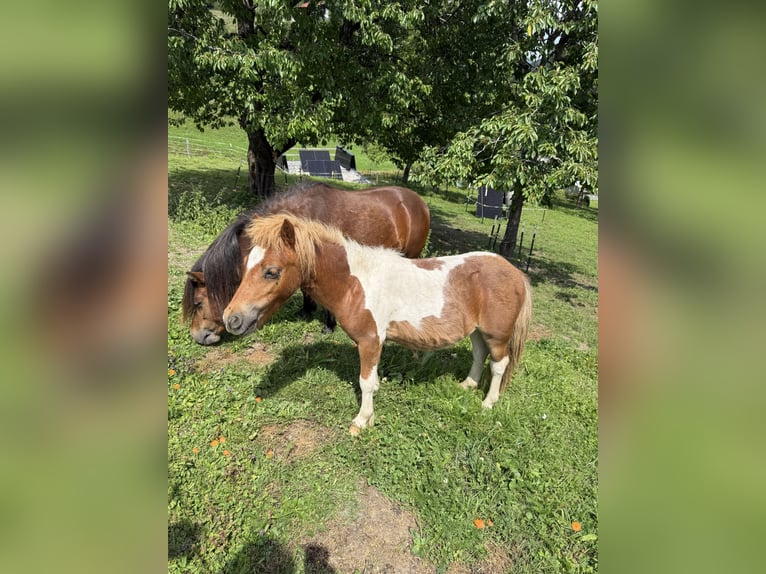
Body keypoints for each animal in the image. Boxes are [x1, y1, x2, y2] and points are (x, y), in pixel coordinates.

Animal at [181, 182, 430, 345]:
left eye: (199, 303)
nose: (198, 336)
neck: (301, 216)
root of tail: (419, 202)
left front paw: (328, 325)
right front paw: (306, 310)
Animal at [222, 214, 532, 435]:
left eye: (271, 272)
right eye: (246, 265)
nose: (231, 319)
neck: (354, 283)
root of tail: (515, 273)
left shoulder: (370, 340)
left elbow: (365, 382)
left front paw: (362, 420)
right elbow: (371, 380)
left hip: (497, 335)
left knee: (499, 365)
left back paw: (488, 403)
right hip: (479, 331)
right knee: (479, 354)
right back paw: (467, 385)